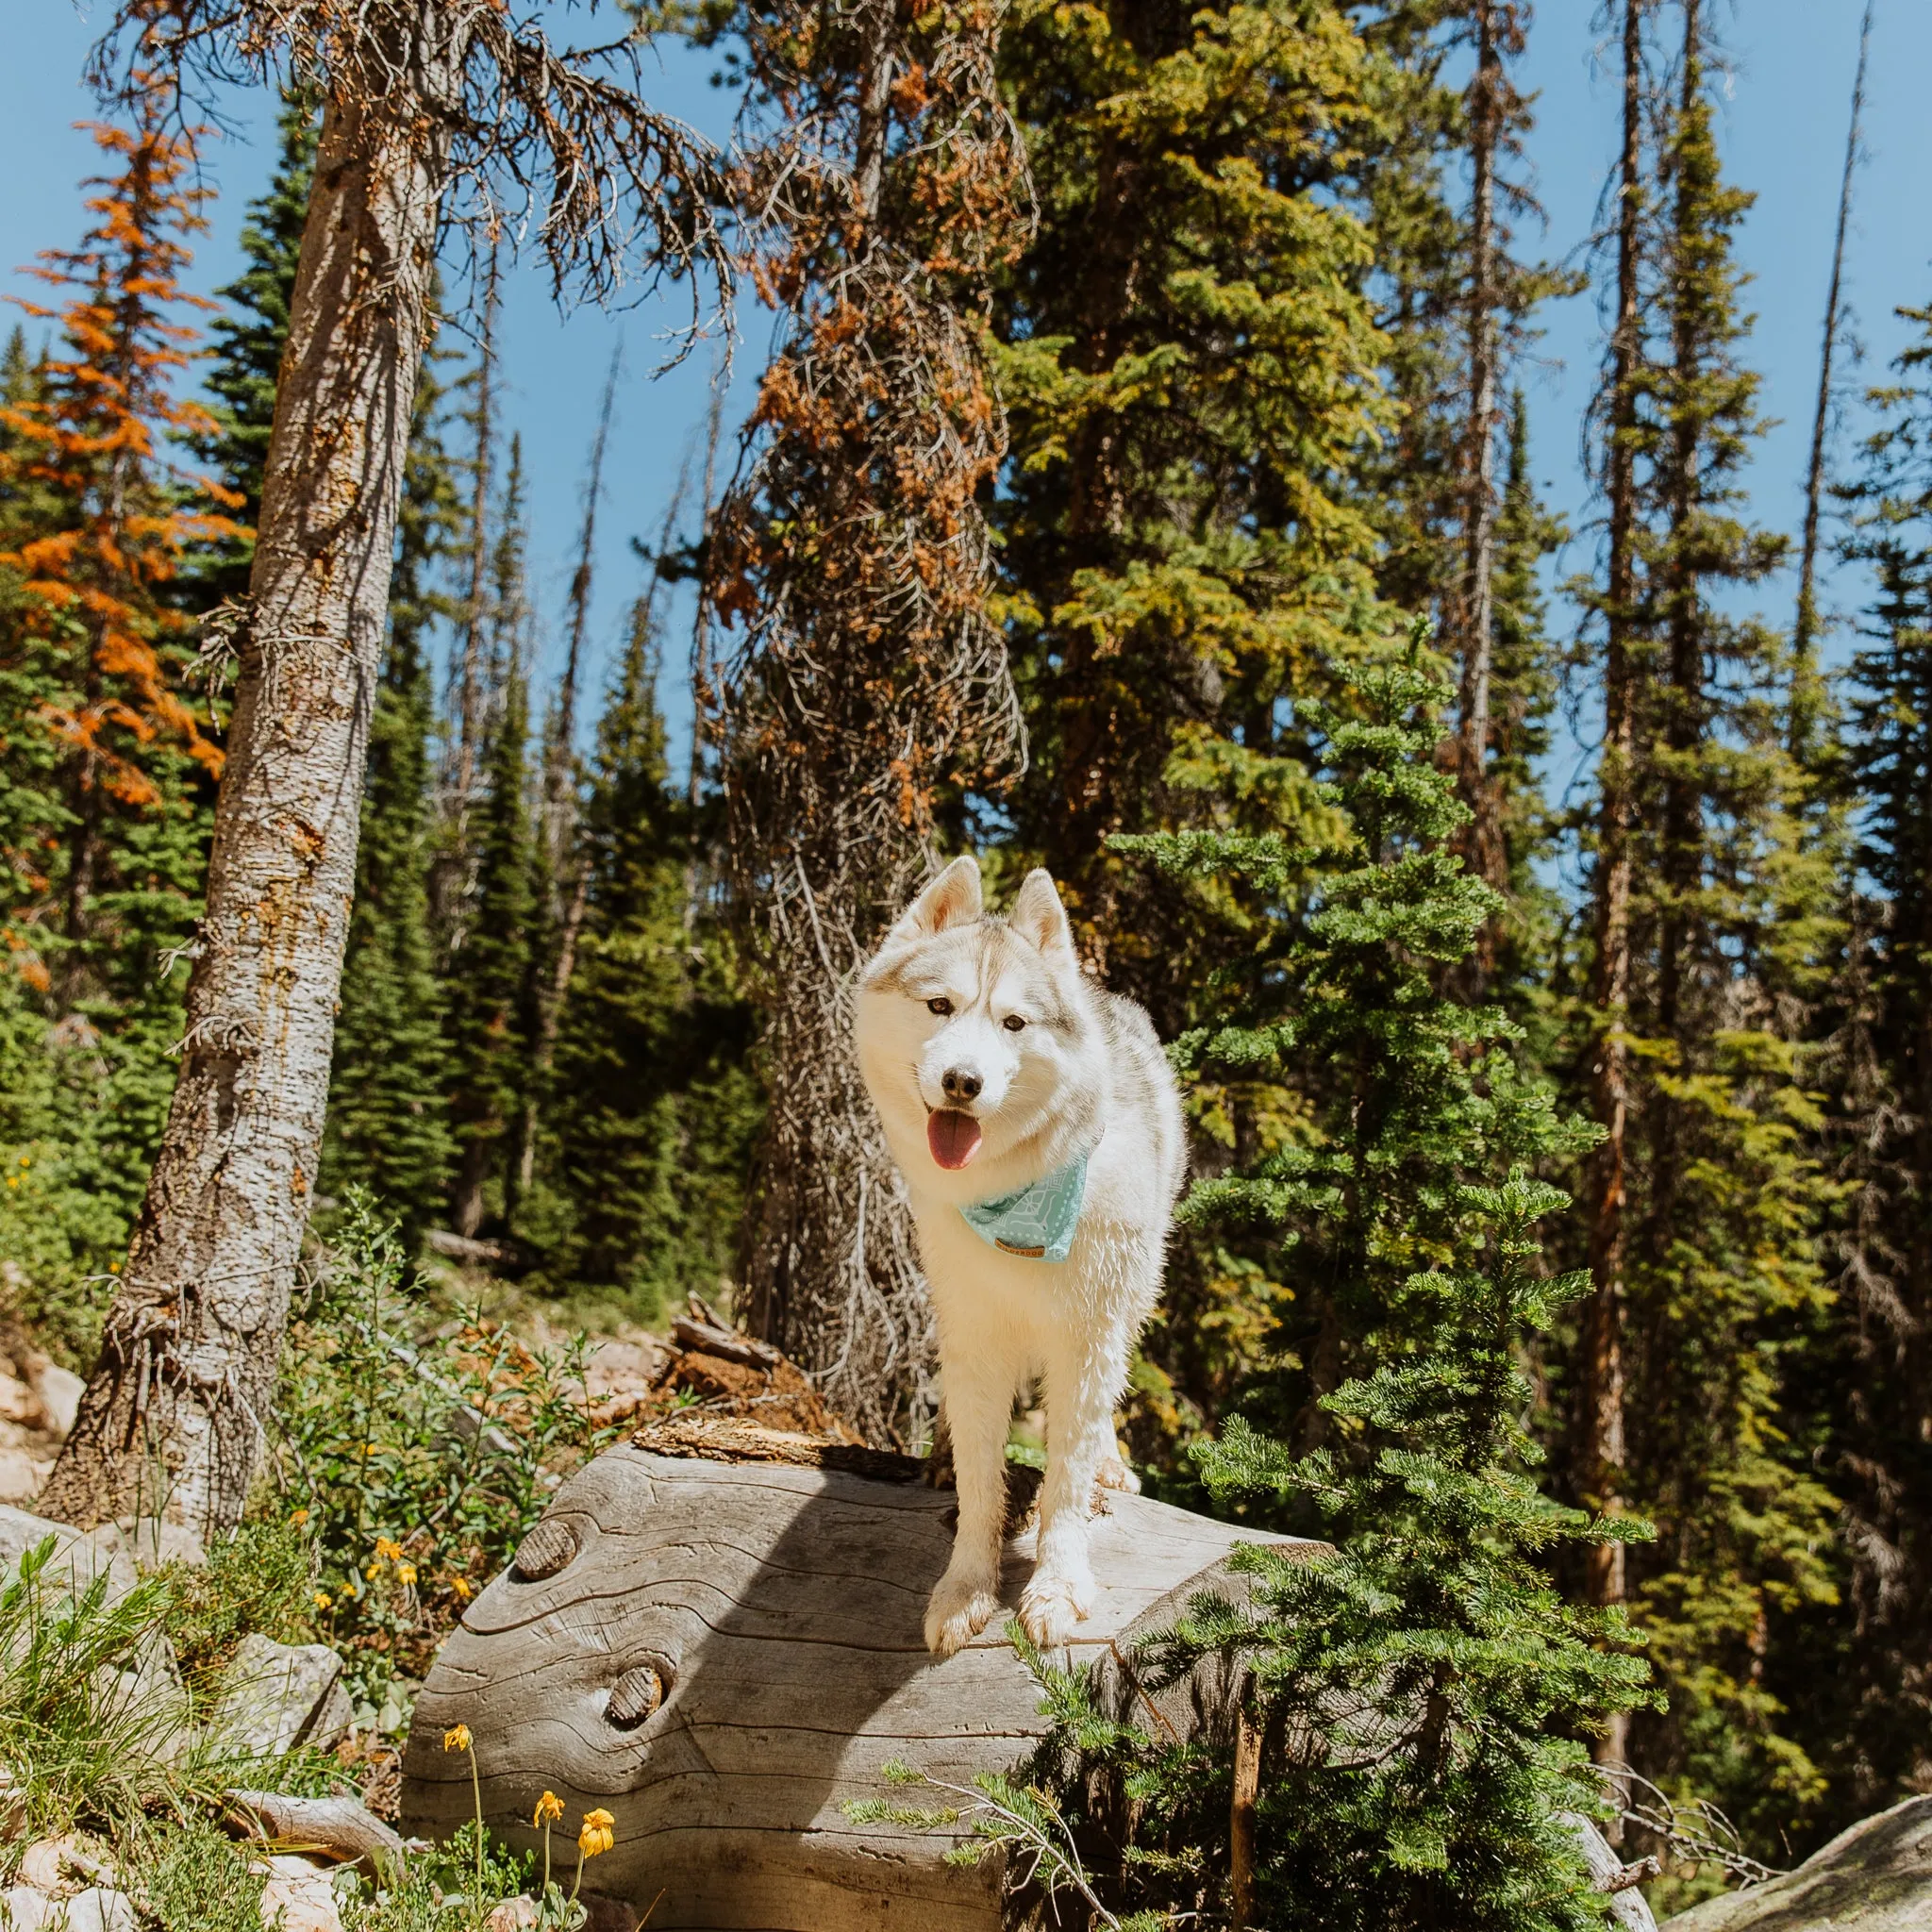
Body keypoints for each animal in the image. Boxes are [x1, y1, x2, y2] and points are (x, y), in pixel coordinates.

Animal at [858, 854, 1182, 1654]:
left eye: (1013, 1023)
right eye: (940, 1007)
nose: (963, 1082)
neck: (1012, 1193)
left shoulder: (1087, 1337)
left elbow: (1065, 1476)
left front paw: (1057, 1588)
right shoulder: (975, 1336)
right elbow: (982, 1481)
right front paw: (965, 1589)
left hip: (1132, 1297)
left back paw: (1111, 1466)